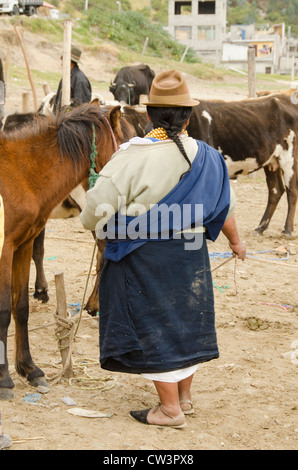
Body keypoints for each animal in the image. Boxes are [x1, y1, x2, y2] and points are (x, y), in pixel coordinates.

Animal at [0, 101, 134, 398]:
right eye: (125, 144)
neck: (20, 174)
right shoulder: (4, 249)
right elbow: (3, 308)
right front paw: (3, 376)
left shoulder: (22, 245)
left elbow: (20, 306)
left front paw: (30, 369)